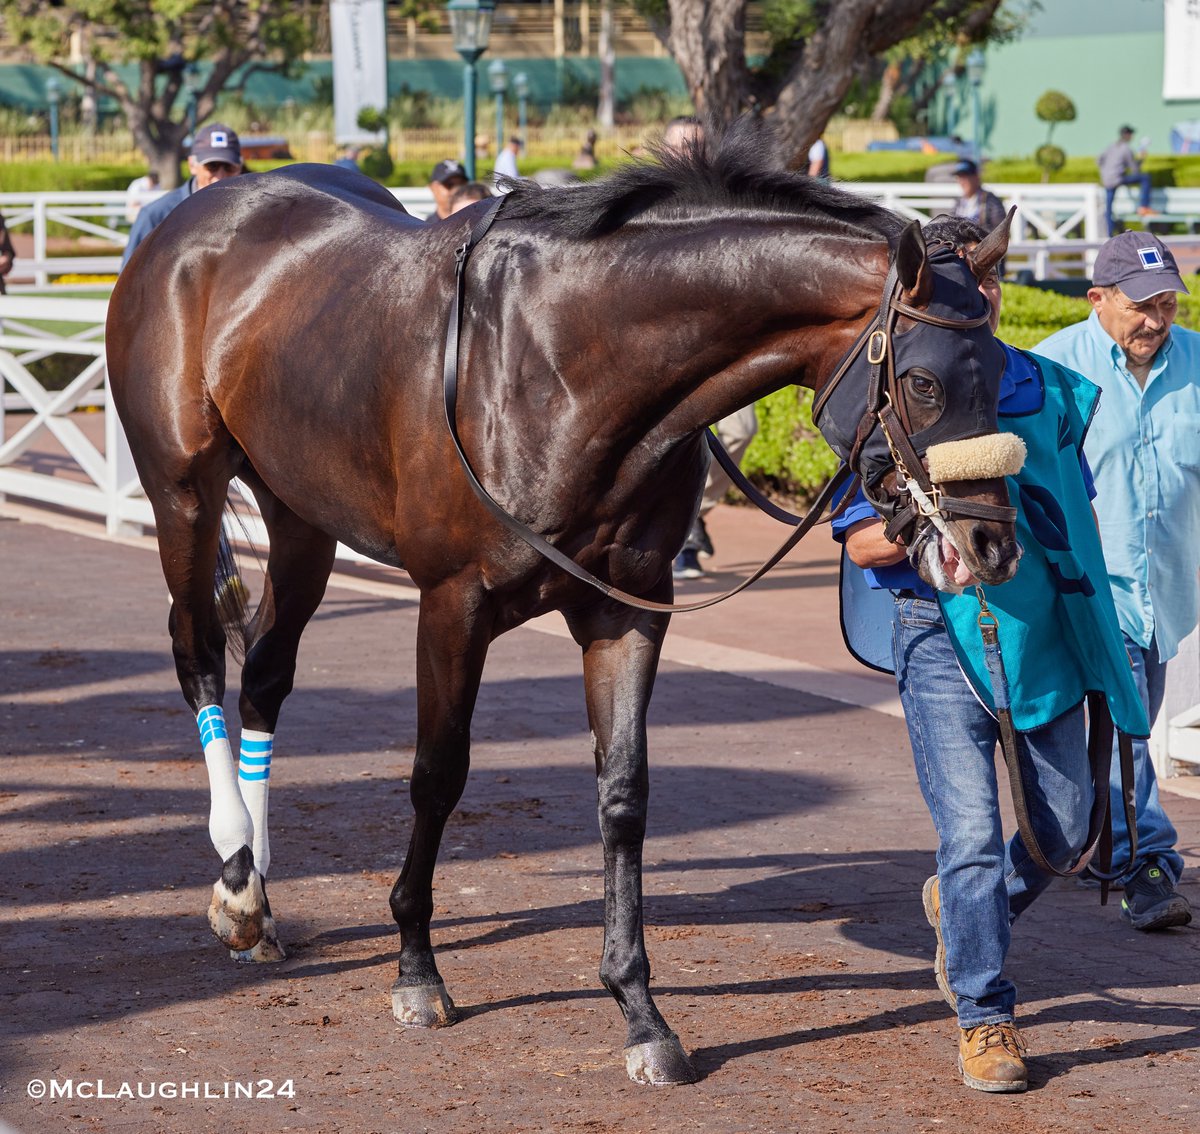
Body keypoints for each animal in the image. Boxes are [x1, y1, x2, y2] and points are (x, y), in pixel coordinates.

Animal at [105, 121, 1022, 1080]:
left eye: (1002, 369)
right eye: (923, 383)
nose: (991, 544)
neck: (565, 363)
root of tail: (205, 208)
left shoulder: (628, 609)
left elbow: (624, 793)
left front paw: (640, 1011)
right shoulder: (453, 603)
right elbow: (438, 774)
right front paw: (417, 971)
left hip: (300, 513)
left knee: (266, 674)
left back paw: (254, 888)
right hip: (184, 491)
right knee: (198, 651)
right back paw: (237, 879)